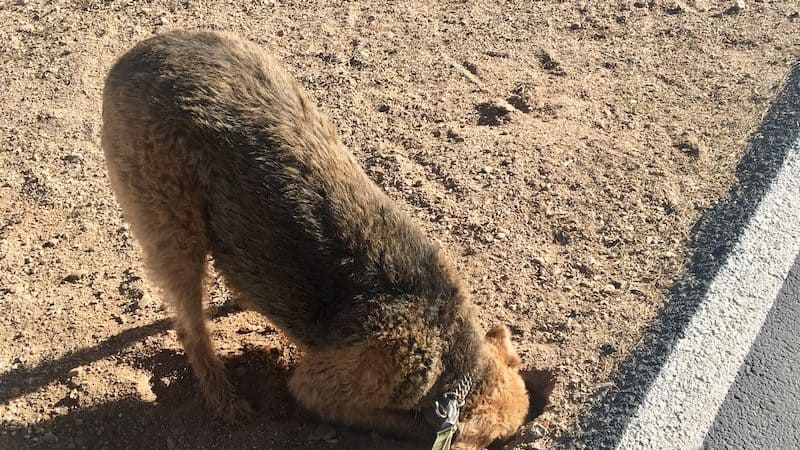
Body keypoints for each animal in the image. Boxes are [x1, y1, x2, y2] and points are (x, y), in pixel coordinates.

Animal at [101, 29, 532, 448]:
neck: (452, 362)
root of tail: (131, 58)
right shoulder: (322, 384)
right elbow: (389, 419)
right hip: (167, 218)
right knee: (190, 327)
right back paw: (229, 404)